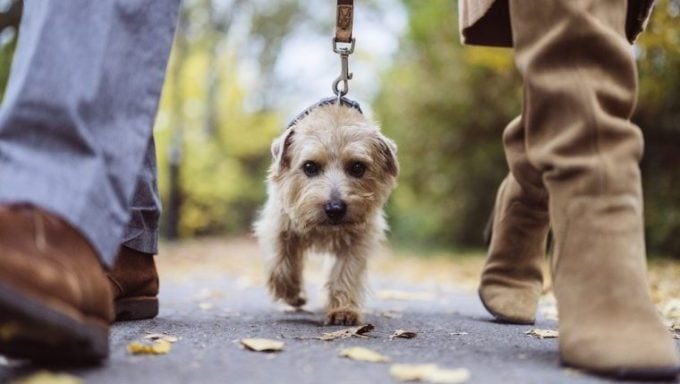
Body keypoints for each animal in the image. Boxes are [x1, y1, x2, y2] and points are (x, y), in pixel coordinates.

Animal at [254, 100, 398, 324]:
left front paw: (343, 310)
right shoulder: (278, 223)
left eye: (358, 167)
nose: (335, 209)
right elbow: (280, 261)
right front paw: (291, 294)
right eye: (309, 166)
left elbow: (346, 271)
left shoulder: (360, 238)